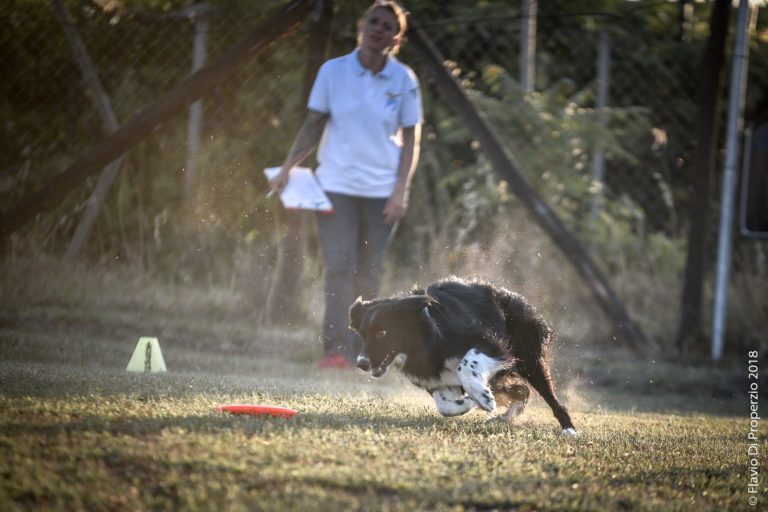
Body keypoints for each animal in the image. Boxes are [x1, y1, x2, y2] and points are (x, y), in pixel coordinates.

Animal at [348, 278, 576, 434]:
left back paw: (569, 429)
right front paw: (469, 402)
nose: (361, 363)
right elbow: (444, 405)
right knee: (522, 391)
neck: (425, 333)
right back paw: (502, 418)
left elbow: (467, 364)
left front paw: (482, 398)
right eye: (362, 334)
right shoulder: (435, 377)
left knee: (547, 395)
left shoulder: (489, 343)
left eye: (382, 333)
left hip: (528, 358)